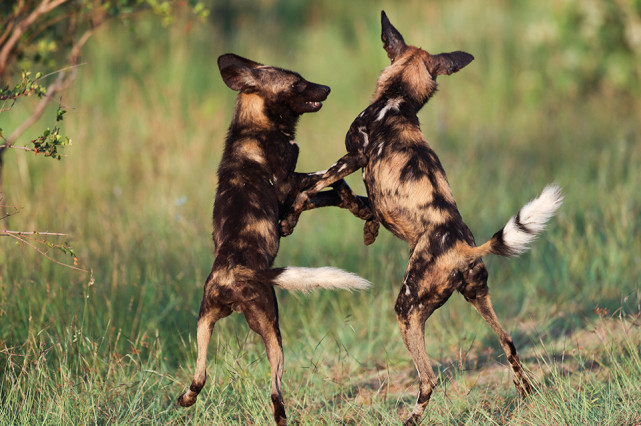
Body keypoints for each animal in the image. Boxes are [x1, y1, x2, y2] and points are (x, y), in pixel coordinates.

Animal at [175, 55, 376, 424]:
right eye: (296, 84)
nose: (327, 88)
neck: (257, 126)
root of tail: (234, 274)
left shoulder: (291, 187)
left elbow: (327, 191)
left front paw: (361, 207)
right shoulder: (287, 183)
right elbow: (326, 184)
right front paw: (355, 204)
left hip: (203, 322)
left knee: (199, 375)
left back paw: (186, 399)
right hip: (274, 330)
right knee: (274, 391)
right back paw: (281, 415)